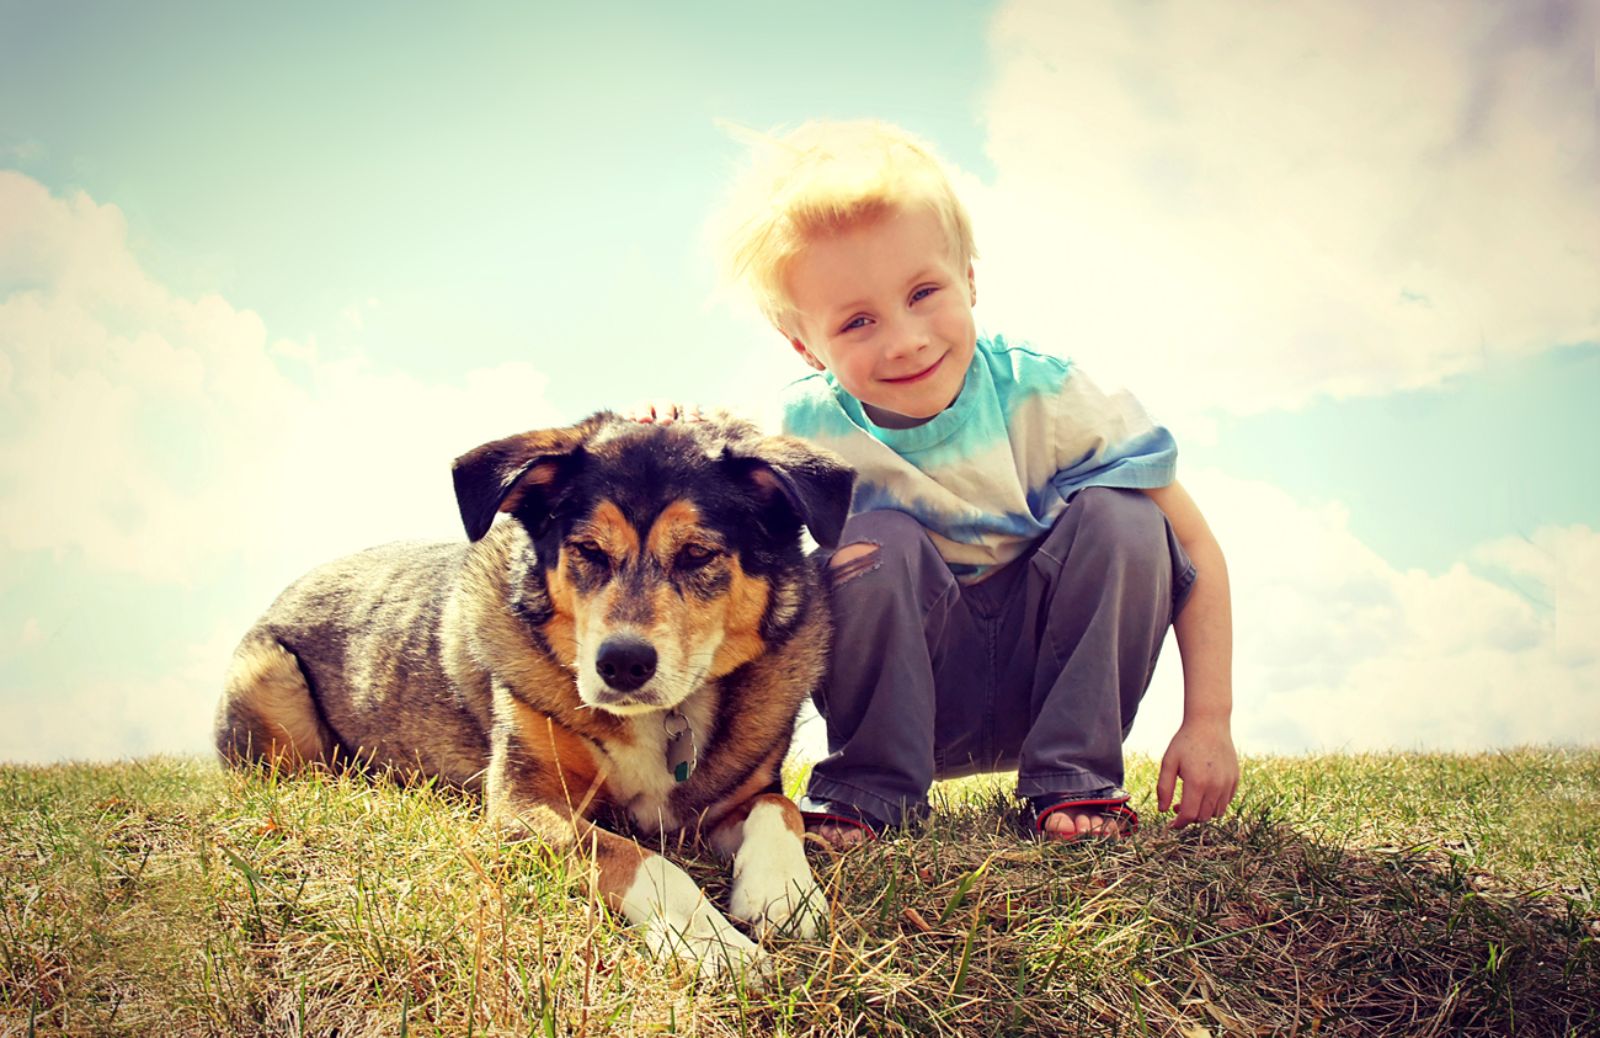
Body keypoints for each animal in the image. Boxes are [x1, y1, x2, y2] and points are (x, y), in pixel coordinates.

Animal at [222, 409, 864, 972]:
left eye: (697, 554)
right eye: (587, 550)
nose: (622, 664)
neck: (662, 717)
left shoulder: (729, 800)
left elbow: (781, 807)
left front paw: (783, 893)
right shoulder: (523, 806)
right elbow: (642, 859)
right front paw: (712, 943)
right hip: (269, 680)